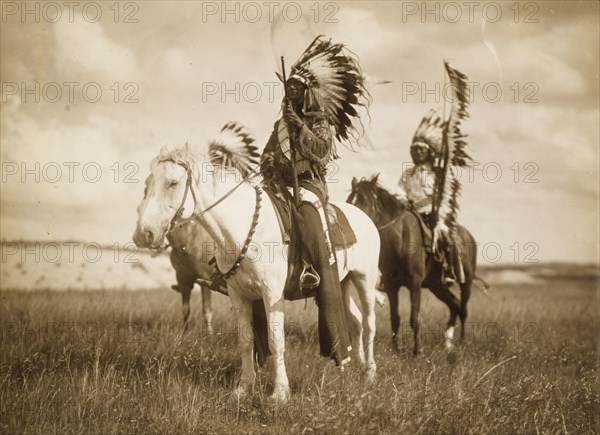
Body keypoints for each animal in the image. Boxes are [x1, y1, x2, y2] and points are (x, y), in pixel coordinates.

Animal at [135, 139, 380, 402]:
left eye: (173, 183)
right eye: (147, 184)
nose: (143, 234)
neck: (242, 229)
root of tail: (364, 217)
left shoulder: (272, 294)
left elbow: (275, 340)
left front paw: (280, 393)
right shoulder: (239, 295)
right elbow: (246, 341)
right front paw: (244, 388)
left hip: (364, 280)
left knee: (369, 323)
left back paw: (369, 374)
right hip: (343, 282)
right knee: (355, 320)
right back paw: (353, 366)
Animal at [344, 175, 480, 356]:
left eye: (364, 201)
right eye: (349, 200)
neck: (400, 238)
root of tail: (468, 236)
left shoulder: (414, 283)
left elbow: (414, 318)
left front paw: (417, 351)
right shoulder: (392, 285)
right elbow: (395, 318)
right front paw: (396, 350)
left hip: (467, 282)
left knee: (463, 310)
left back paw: (463, 341)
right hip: (436, 286)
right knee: (455, 305)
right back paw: (447, 343)